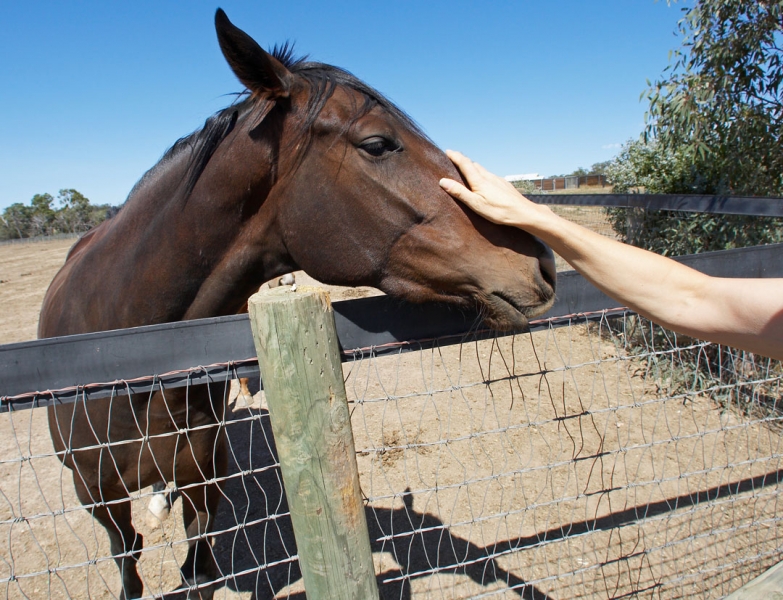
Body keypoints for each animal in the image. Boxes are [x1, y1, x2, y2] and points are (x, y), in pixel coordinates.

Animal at [38, 9, 556, 599]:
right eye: (378, 143)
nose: (542, 264)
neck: (122, 356)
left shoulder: (203, 481)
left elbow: (199, 572)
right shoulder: (96, 499)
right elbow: (129, 565)